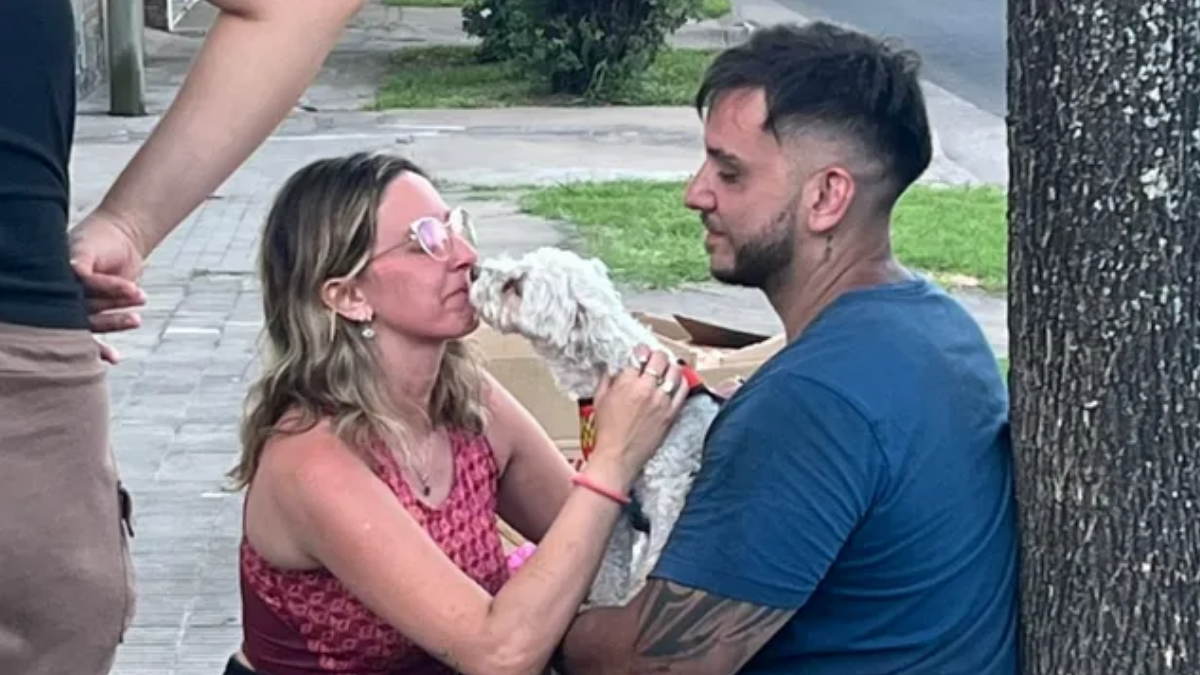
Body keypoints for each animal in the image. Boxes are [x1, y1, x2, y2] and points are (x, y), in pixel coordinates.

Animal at [469, 246, 723, 607]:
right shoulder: (616, 515)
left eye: (515, 287)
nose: (473, 271)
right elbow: (609, 573)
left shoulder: (668, 494)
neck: (614, 368)